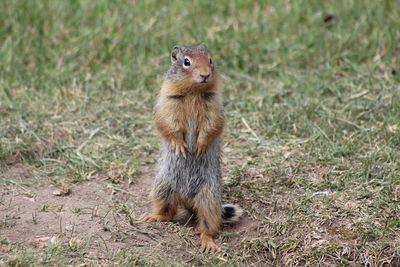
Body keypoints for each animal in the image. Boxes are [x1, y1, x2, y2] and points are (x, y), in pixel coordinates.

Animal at [144, 43, 244, 253]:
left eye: (210, 59)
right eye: (186, 62)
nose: (205, 74)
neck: (193, 92)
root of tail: (187, 200)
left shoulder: (214, 104)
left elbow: (212, 126)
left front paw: (200, 145)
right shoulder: (168, 100)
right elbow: (167, 123)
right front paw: (180, 145)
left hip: (209, 198)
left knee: (209, 226)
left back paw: (206, 240)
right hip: (162, 188)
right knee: (169, 213)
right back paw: (153, 216)